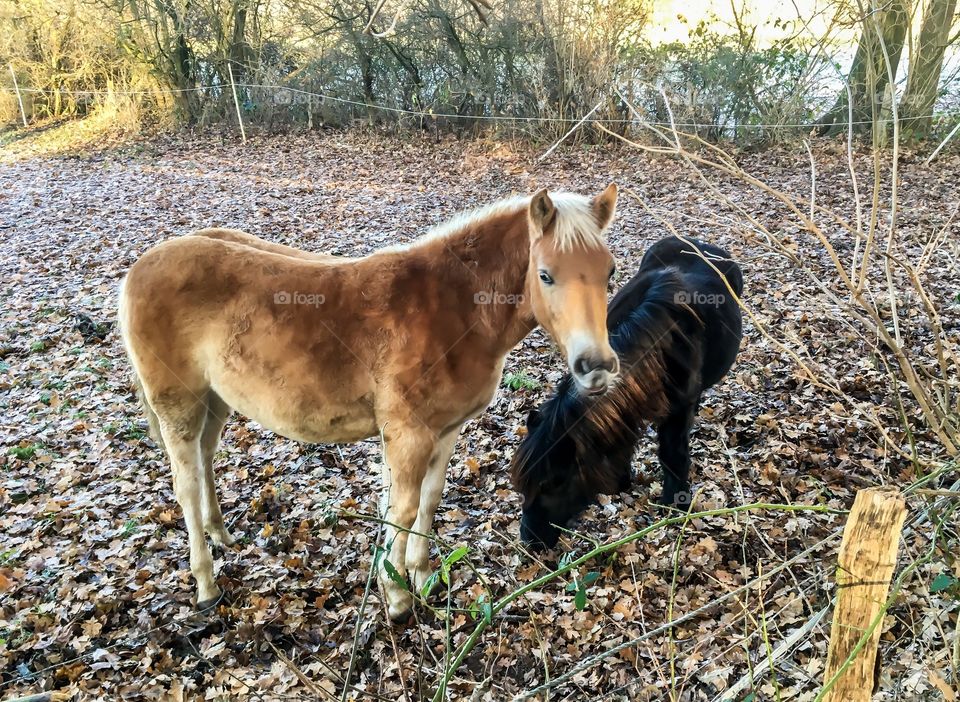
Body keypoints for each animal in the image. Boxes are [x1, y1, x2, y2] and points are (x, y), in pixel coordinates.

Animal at [120, 187, 620, 620]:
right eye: (545, 274)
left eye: (610, 271)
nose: (595, 366)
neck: (455, 309)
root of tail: (137, 271)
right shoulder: (408, 434)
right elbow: (401, 511)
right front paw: (397, 597)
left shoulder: (446, 430)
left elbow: (429, 502)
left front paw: (422, 576)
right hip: (177, 404)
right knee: (185, 483)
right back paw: (206, 584)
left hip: (215, 399)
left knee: (205, 458)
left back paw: (221, 535)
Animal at [510, 236, 744, 552]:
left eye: (557, 482)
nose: (529, 540)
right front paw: (623, 480)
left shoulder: (678, 410)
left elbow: (673, 454)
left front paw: (676, 504)